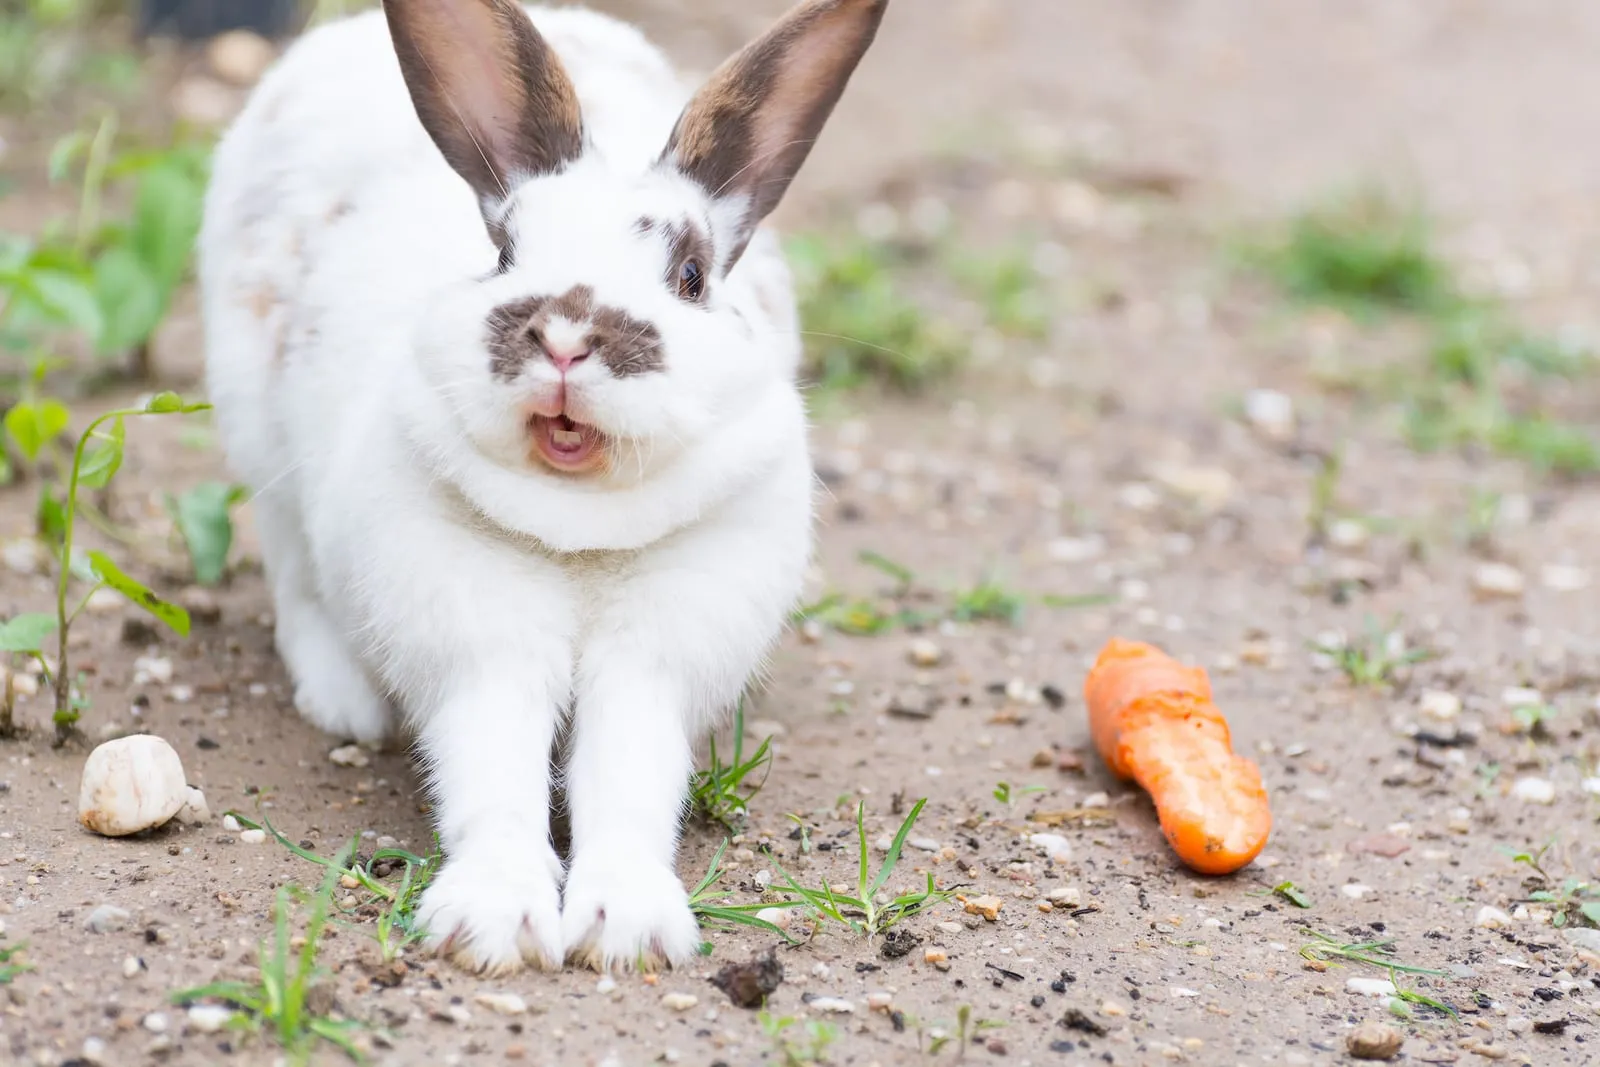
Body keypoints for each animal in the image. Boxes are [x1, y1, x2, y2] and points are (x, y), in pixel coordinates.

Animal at [197, 0, 889, 974]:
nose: (565, 336)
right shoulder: (479, 645)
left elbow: (629, 780)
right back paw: (346, 705)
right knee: (296, 576)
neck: (579, 526)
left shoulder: (655, 658)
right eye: (504, 250)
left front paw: (624, 927)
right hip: (259, 436)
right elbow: (491, 771)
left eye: (690, 276)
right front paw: (494, 920)